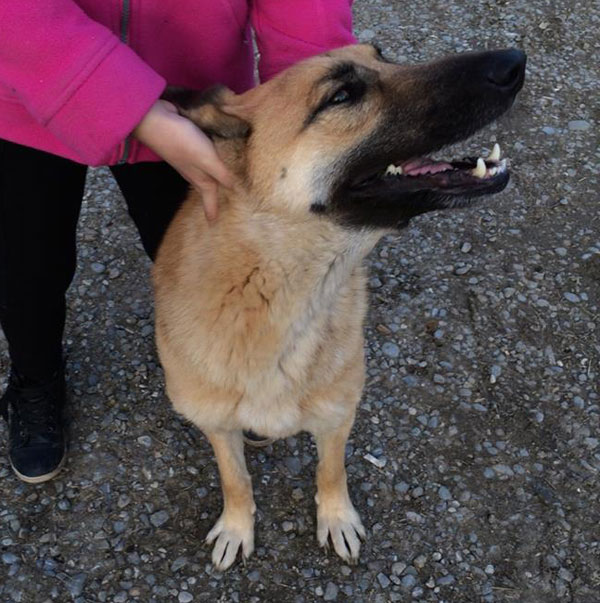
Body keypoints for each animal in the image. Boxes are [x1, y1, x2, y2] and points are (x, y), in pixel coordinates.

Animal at [154, 43, 524, 572]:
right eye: (343, 95)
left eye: (382, 56)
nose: (514, 61)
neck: (269, 290)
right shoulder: (217, 426)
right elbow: (235, 479)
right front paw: (237, 525)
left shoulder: (336, 415)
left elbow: (331, 471)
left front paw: (336, 518)